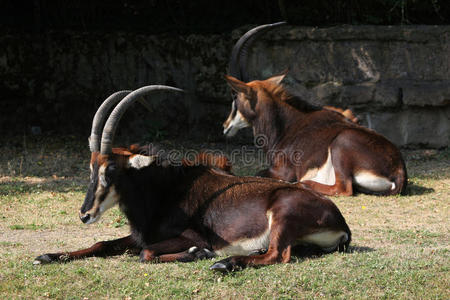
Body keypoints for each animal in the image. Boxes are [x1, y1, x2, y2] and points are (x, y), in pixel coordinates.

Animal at [35, 84, 352, 272]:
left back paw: (224, 263)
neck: (165, 191)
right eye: (90, 168)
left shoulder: (189, 235)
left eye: (111, 169)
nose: (85, 214)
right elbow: (102, 244)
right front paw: (47, 255)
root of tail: (341, 222)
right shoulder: (139, 235)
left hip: (283, 213)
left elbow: (146, 253)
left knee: (277, 255)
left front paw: (199, 253)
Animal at [222, 73, 408, 197]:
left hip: (342, 143)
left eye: (235, 99)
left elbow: (257, 173)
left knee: (343, 189)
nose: (225, 126)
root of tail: (399, 170)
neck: (287, 125)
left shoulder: (283, 171)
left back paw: (304, 183)